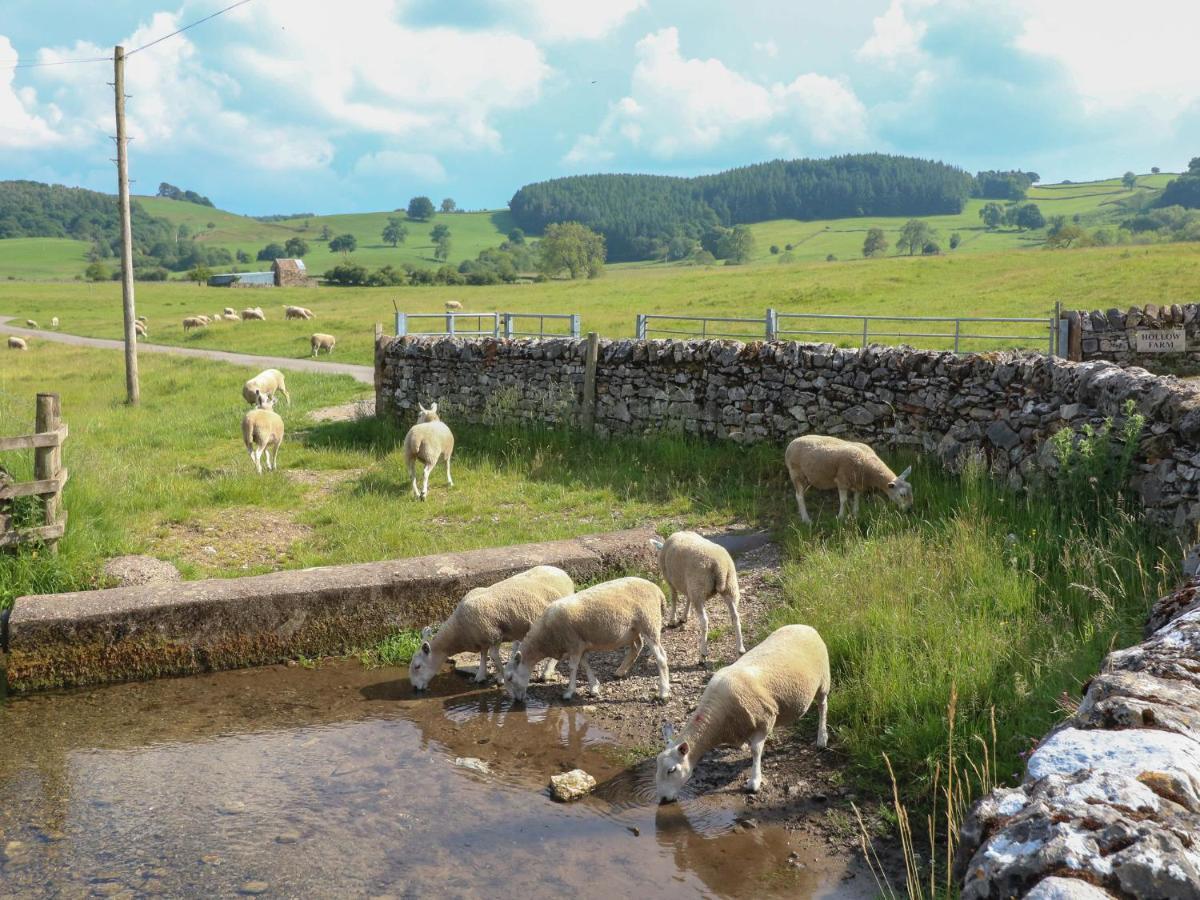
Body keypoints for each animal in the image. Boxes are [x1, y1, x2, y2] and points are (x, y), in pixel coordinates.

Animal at [408, 566, 576, 696]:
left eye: (417, 666)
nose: (415, 688)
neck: (459, 629)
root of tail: (563, 572)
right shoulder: (483, 637)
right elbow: (484, 654)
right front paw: (481, 675)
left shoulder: (494, 633)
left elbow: (493, 655)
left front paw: (501, 677)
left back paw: (546, 672)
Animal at [504, 578, 676, 705]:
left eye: (510, 678)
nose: (517, 701)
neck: (546, 637)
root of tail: (657, 590)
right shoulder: (581, 644)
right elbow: (585, 663)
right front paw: (594, 687)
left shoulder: (573, 643)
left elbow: (573, 667)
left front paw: (569, 692)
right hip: (633, 630)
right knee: (636, 647)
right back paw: (620, 671)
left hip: (649, 622)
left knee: (661, 657)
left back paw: (663, 692)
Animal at [652, 532, 744, 667]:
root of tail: (719, 566)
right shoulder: (688, 585)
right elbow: (687, 598)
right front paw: (684, 616)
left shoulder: (672, 582)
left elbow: (674, 598)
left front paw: (672, 620)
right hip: (730, 586)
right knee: (735, 617)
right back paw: (740, 650)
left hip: (698, 588)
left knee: (704, 621)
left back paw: (702, 655)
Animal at [652, 624, 830, 801]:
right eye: (657, 767)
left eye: (671, 770)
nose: (663, 799)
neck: (716, 721)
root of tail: (805, 626)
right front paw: (743, 747)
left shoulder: (765, 718)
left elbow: (756, 750)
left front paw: (754, 781)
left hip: (823, 680)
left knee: (823, 706)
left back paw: (822, 738)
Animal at [782, 434, 912, 525]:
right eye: (902, 495)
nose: (910, 510)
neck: (867, 465)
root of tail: (792, 443)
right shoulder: (842, 480)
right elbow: (843, 501)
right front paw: (840, 517)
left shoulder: (858, 483)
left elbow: (857, 498)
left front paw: (856, 514)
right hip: (796, 473)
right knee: (799, 496)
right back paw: (806, 519)